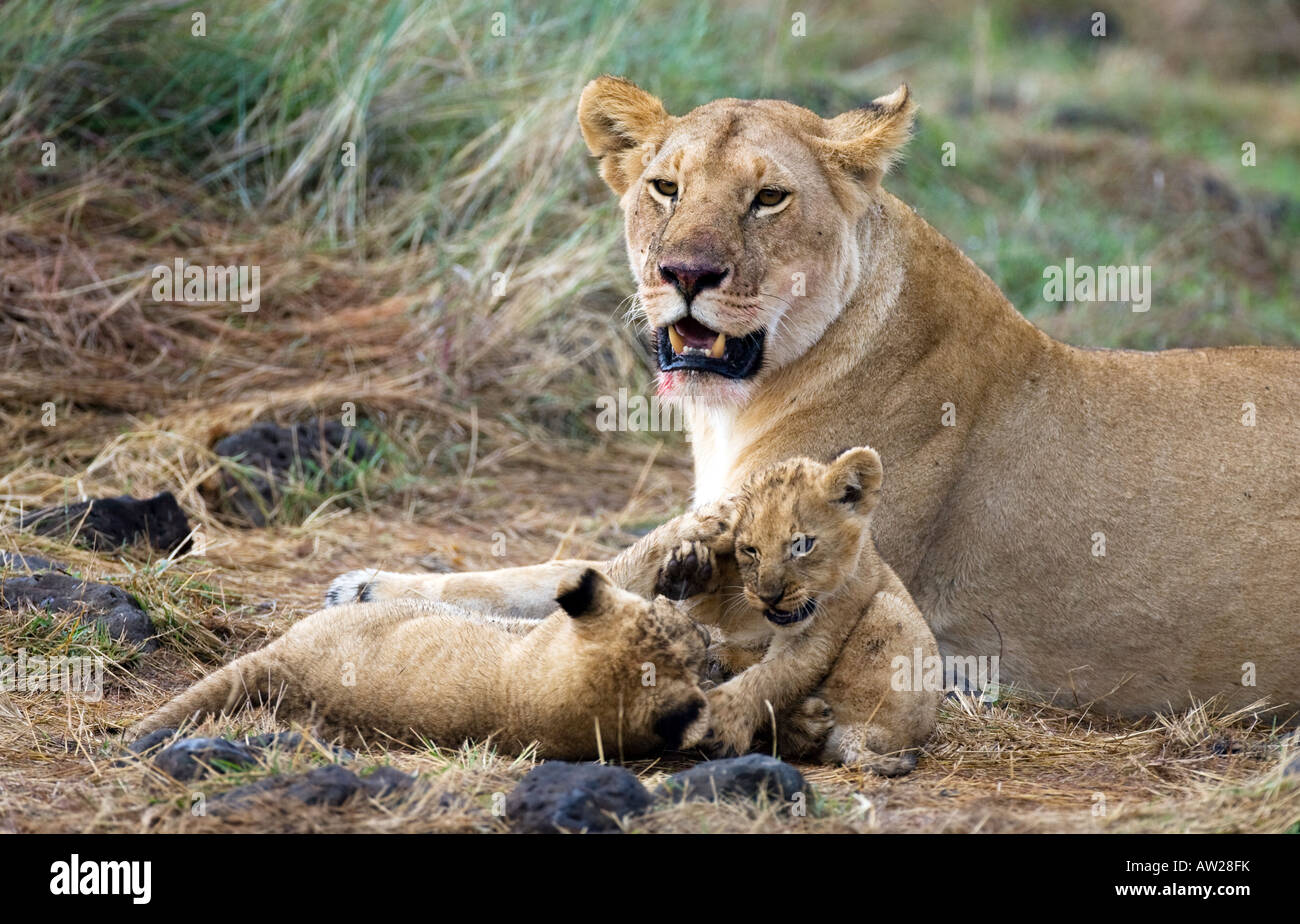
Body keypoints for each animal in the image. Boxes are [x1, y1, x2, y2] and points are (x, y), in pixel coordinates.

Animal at [328, 77, 1300, 721]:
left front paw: (380, 607)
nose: (685, 273)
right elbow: (570, 570)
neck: (746, 400)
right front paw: (373, 587)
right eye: (665, 186)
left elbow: (591, 592)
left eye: (768, 198)